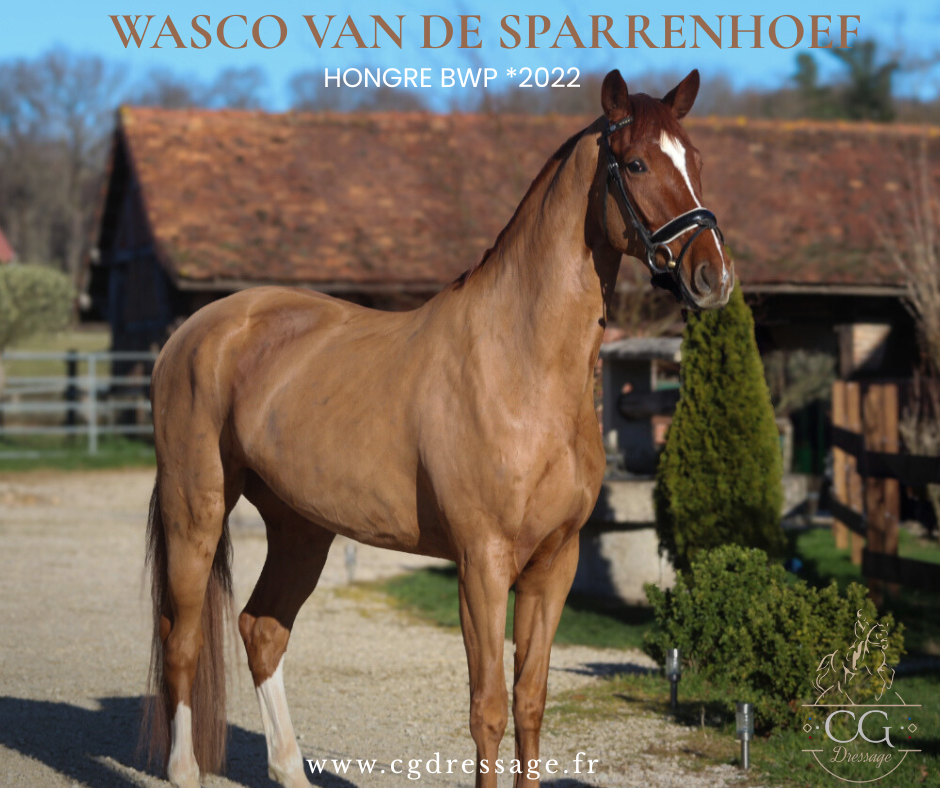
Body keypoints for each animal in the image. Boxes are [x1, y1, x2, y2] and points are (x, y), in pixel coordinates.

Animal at [142, 68, 731, 788]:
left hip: (301, 526)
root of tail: (196, 332)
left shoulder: (554, 564)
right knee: (183, 637)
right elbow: (487, 709)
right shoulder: (481, 563)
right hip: (195, 510)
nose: (713, 276)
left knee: (261, 630)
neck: (522, 365)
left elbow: (529, 702)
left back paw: (288, 768)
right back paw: (183, 769)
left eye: (697, 160)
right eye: (639, 163)